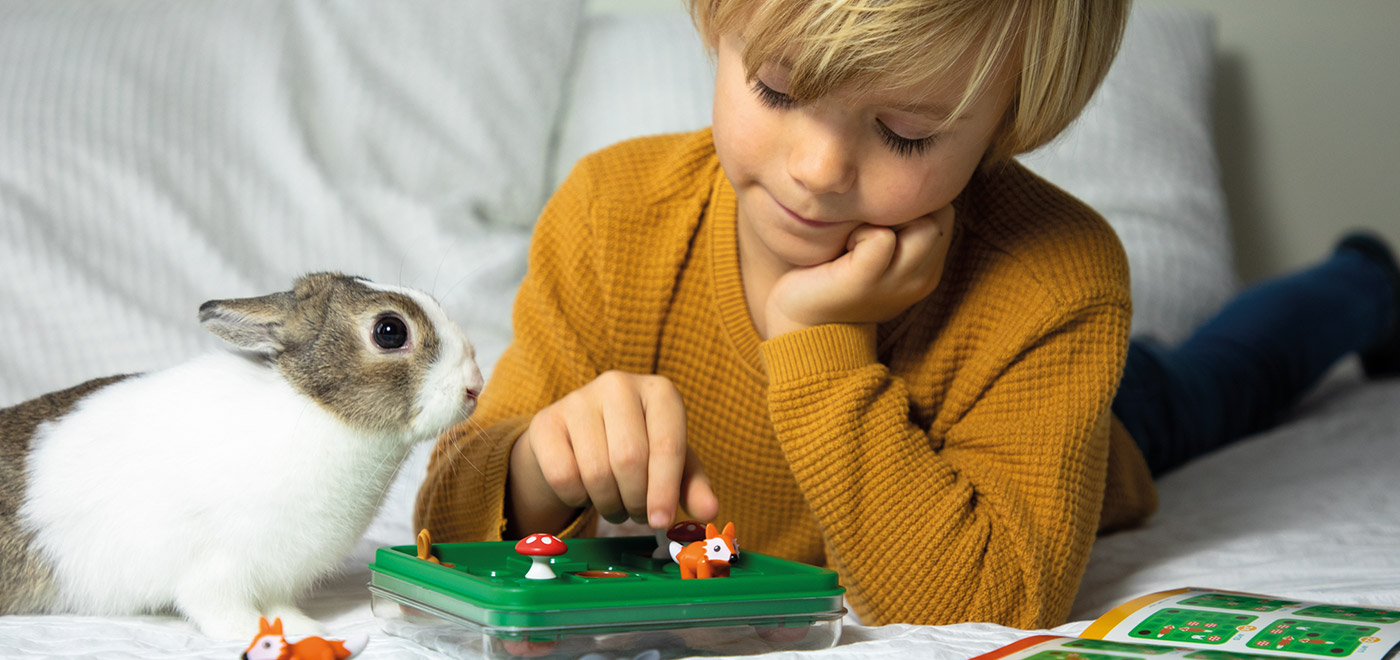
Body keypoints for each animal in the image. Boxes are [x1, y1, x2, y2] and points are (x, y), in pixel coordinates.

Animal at [0, 273, 487, 641]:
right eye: (390, 331)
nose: (475, 386)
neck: (318, 413)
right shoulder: (214, 569)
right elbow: (222, 612)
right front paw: (273, 635)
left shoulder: (273, 577)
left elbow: (279, 607)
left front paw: (306, 628)